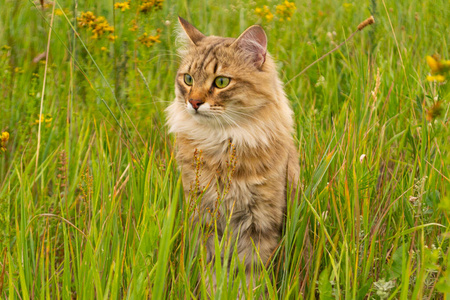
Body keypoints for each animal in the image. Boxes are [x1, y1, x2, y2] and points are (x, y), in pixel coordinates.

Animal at [165, 17, 298, 288]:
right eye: (188, 79)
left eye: (221, 82)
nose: (194, 103)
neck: (222, 141)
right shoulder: (203, 217)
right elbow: (210, 272)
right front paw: (213, 290)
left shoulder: (261, 222)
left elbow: (251, 277)